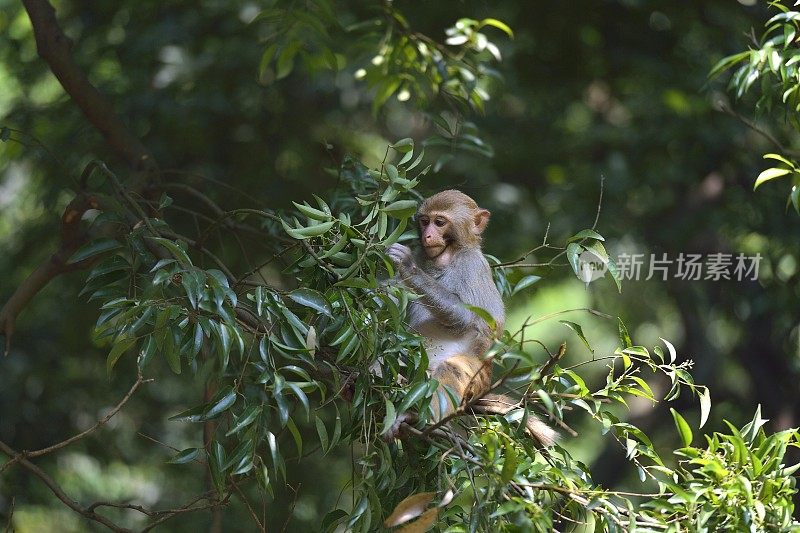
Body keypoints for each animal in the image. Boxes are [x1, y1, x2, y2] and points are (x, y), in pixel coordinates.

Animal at [388, 189, 556, 446]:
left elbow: (465, 317)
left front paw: (410, 268)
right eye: (425, 221)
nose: (427, 235)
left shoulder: (471, 266)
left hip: (477, 378)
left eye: (439, 222)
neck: (446, 257)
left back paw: (419, 418)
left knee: (452, 369)